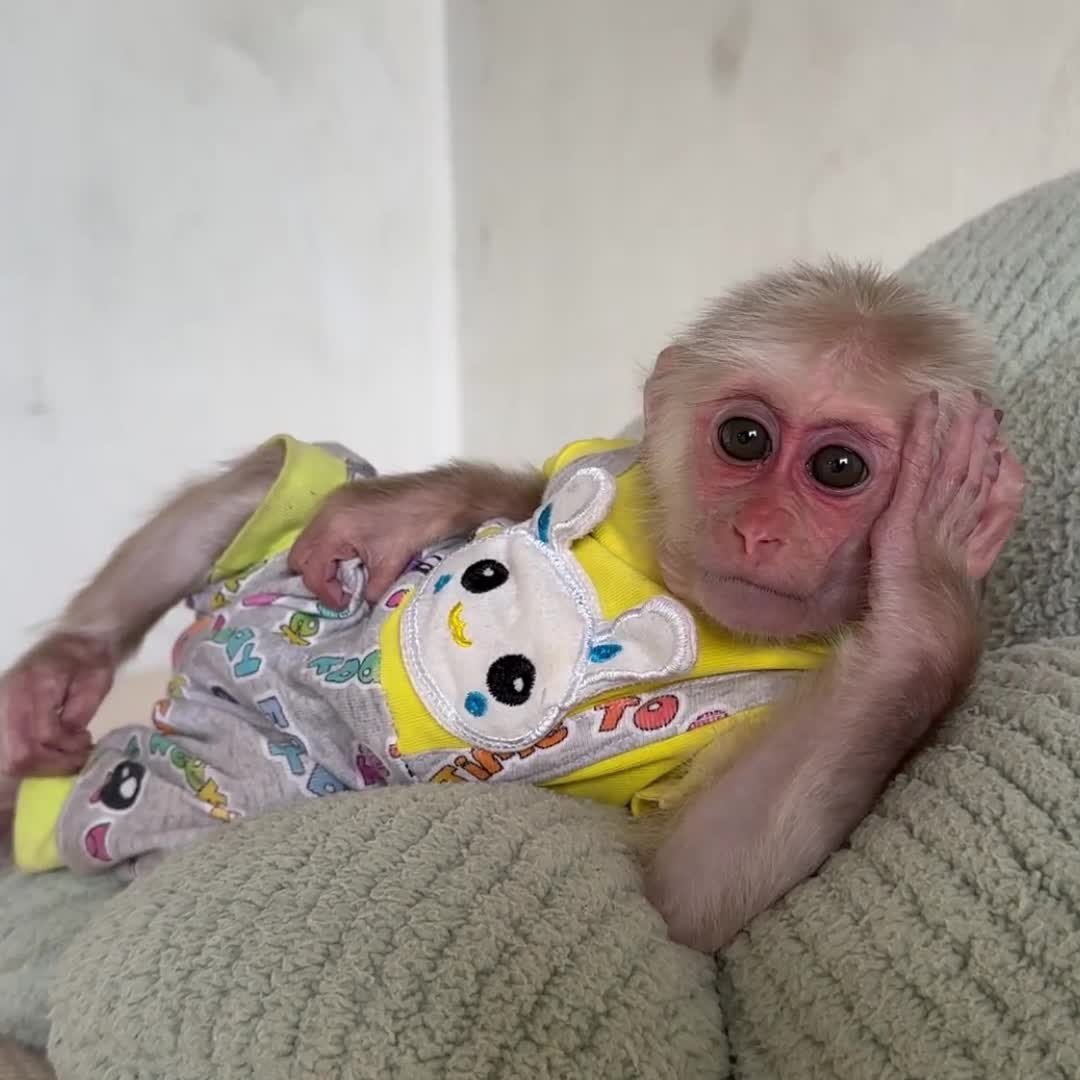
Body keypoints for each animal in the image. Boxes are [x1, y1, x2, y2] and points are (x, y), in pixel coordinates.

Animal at [0, 259, 1023, 952]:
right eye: (744, 438)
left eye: (839, 468)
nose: (762, 528)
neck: (676, 592)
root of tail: (182, 687)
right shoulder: (609, 464)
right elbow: (545, 479)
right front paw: (404, 511)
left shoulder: (769, 698)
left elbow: (688, 893)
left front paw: (929, 577)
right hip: (257, 579)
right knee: (276, 478)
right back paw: (60, 674)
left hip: (190, 785)